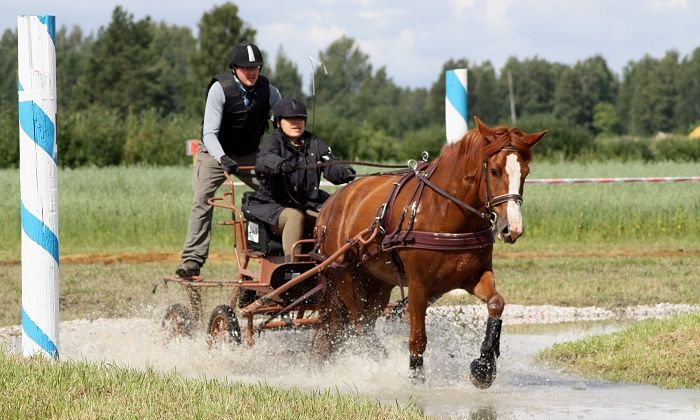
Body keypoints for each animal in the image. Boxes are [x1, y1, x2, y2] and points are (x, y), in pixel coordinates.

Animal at [312, 117, 548, 388]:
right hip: (346, 277)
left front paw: (484, 366)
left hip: (376, 281)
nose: (513, 228)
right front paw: (416, 377)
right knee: (359, 324)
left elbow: (496, 303)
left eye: (525, 173)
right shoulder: (418, 286)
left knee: (363, 322)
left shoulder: (473, 276)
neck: (446, 211)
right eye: (495, 171)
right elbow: (417, 338)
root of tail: (333, 201)